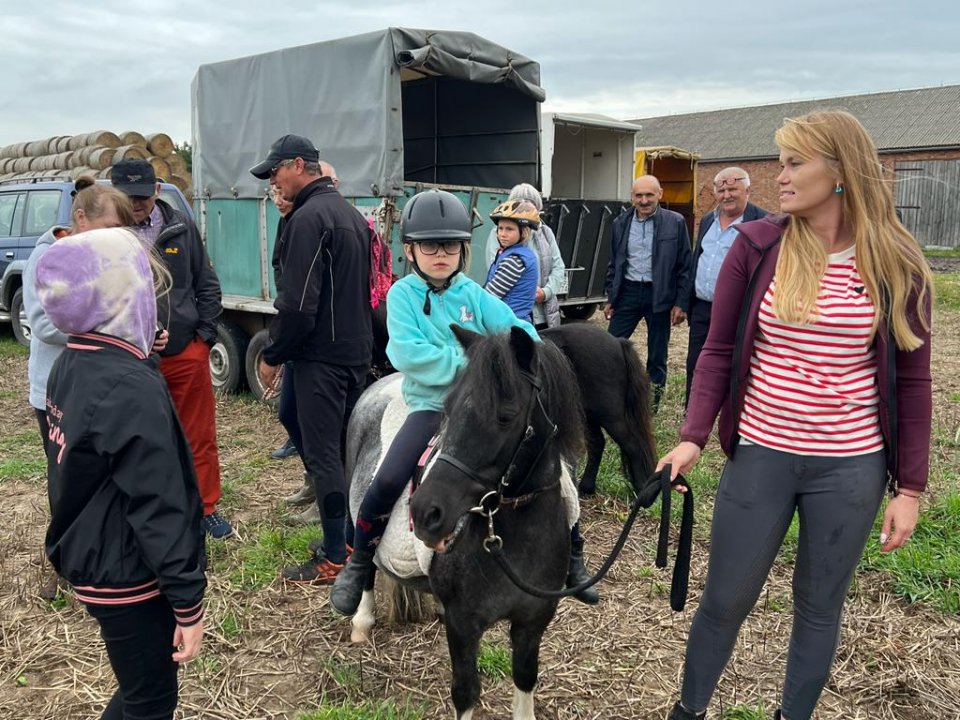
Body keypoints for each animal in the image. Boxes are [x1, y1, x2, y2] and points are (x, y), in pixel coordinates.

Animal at [408, 328, 580, 720]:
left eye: (505, 416)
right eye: (448, 408)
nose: (424, 512)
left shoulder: (533, 621)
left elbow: (525, 677)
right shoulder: (462, 624)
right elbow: (466, 692)